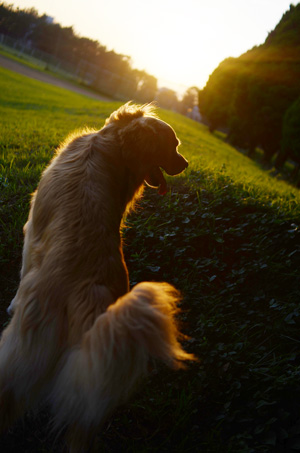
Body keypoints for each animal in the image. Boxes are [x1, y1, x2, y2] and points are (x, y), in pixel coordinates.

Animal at [0, 103, 195, 452]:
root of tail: (87, 296)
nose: (186, 163)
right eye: (172, 145)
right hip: (93, 383)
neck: (110, 145)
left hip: (18, 358)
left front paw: (11, 304)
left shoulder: (32, 229)